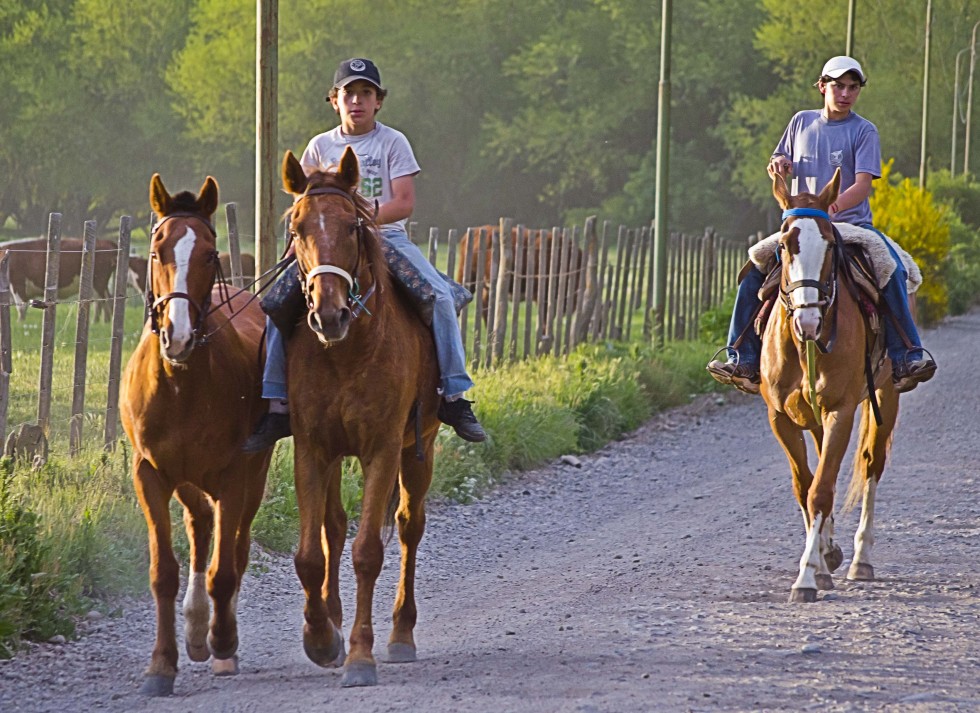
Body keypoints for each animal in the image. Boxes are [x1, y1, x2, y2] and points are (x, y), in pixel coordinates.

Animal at [119, 174, 272, 696]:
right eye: (156, 250)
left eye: (209, 252)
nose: (177, 335)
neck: (181, 382)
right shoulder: (150, 473)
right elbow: (163, 571)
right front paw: (161, 665)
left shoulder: (235, 472)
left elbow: (226, 569)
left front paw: (224, 643)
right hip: (186, 477)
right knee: (201, 522)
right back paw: (195, 625)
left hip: (253, 472)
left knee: (235, 543)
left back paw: (217, 635)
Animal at [280, 147, 440, 688]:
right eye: (297, 227)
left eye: (352, 226)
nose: (329, 315)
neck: (346, 352)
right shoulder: (312, 449)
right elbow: (310, 554)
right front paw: (320, 638)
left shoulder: (383, 450)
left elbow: (368, 551)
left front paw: (360, 656)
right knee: (332, 525)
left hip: (420, 448)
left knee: (410, 526)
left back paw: (401, 633)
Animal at [756, 170, 904, 604]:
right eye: (785, 245)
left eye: (830, 245)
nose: (808, 321)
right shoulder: (780, 418)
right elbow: (805, 485)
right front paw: (822, 558)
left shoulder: (841, 410)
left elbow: (821, 489)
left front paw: (807, 576)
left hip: (885, 398)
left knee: (871, 465)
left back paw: (860, 559)